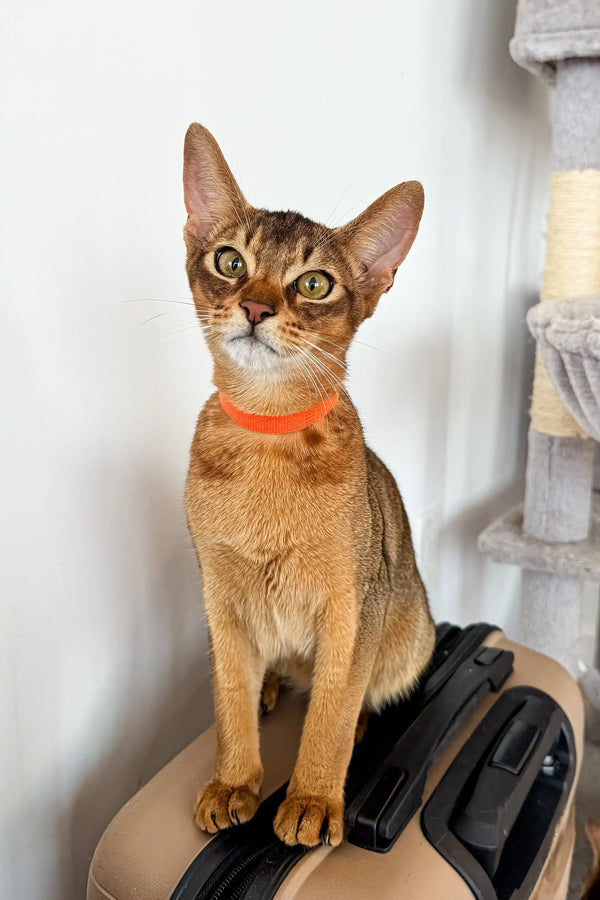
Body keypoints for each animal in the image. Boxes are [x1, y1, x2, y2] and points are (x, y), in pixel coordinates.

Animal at [180, 123, 434, 848]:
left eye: (315, 283)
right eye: (230, 261)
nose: (256, 307)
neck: (268, 434)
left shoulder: (352, 607)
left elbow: (330, 712)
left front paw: (314, 799)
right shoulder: (219, 595)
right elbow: (228, 698)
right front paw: (234, 782)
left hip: (409, 629)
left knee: (356, 691)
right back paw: (271, 684)